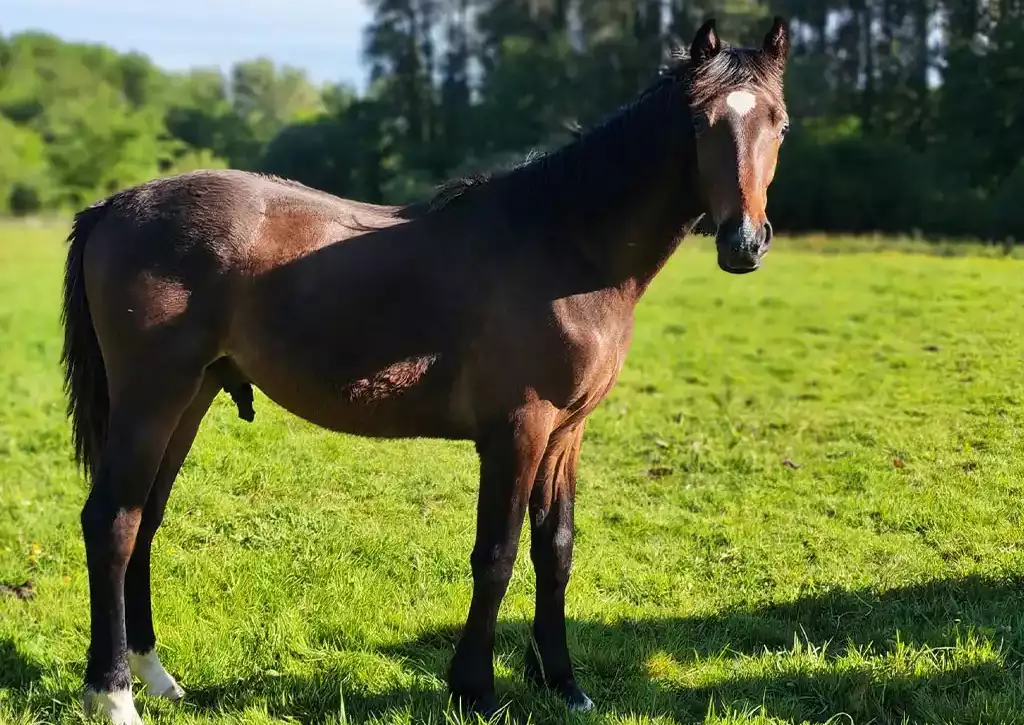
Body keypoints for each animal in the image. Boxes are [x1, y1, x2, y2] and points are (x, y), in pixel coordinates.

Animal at [61, 17, 790, 724]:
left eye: (779, 122)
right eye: (698, 123)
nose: (744, 242)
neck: (564, 249)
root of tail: (114, 206)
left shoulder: (565, 434)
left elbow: (555, 550)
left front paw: (563, 683)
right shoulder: (517, 431)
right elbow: (495, 555)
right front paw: (475, 689)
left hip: (191, 396)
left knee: (145, 517)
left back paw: (156, 676)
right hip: (152, 398)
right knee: (112, 522)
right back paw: (114, 694)